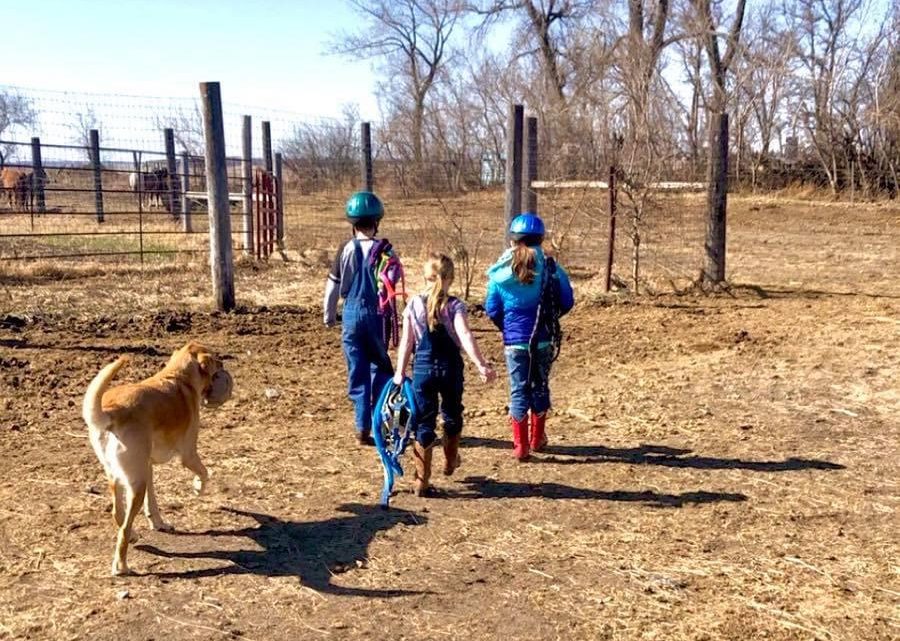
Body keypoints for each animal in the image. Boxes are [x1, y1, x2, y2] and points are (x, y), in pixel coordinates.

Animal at [81, 340, 232, 576]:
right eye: (216, 359)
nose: (223, 363)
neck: (179, 377)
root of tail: (112, 412)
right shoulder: (189, 455)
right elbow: (205, 473)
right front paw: (198, 487)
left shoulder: (148, 466)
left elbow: (152, 503)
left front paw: (159, 523)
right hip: (137, 485)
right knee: (123, 529)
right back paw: (121, 566)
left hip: (121, 476)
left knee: (118, 514)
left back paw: (133, 535)